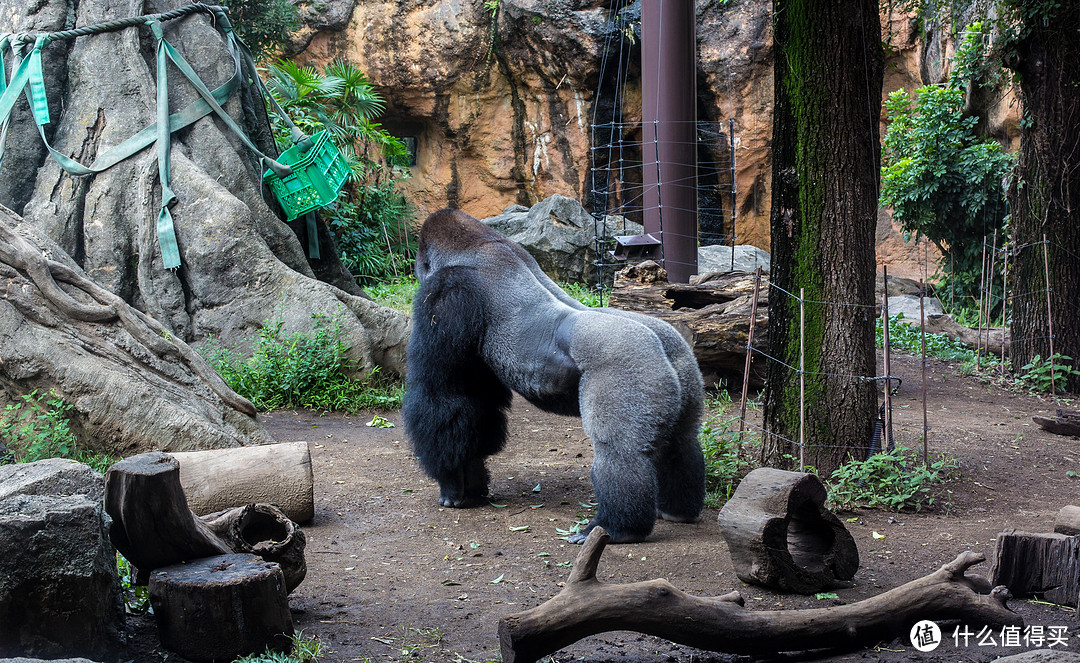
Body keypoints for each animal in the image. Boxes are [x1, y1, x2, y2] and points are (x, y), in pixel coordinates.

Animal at [401, 210, 704, 542]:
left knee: (619, 451)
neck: (479, 244)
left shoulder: (447, 295)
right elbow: (476, 408)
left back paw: (617, 527)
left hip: (626, 364)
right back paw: (677, 508)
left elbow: (445, 396)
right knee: (682, 439)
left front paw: (454, 485)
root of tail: (661, 344)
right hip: (683, 365)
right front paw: (472, 480)